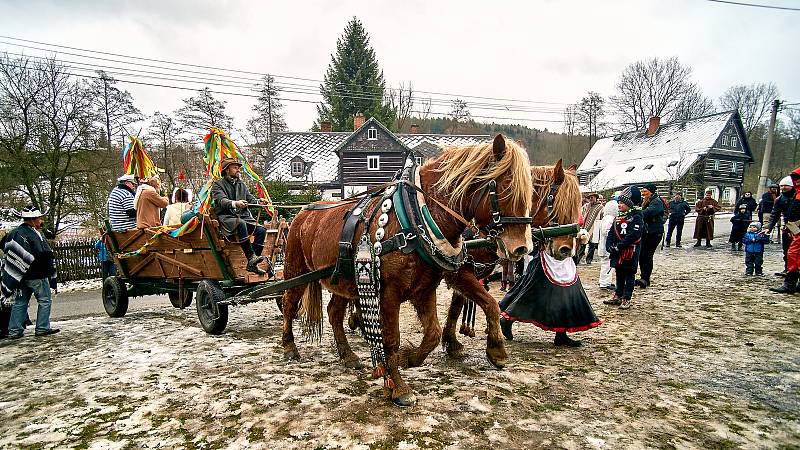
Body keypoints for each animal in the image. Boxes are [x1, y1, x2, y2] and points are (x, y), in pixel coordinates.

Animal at [282, 135, 532, 406]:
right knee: (289, 304)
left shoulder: (426, 287)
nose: (522, 248)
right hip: (296, 270)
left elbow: (436, 331)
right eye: (506, 188)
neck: (416, 219)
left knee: (334, 313)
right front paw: (399, 387)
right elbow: (391, 338)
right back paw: (289, 347)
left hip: (342, 280)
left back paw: (348, 356)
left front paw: (410, 357)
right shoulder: (388, 293)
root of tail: (304, 212)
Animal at [438, 162, 580, 362]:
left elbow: (456, 307)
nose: (566, 250)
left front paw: (452, 343)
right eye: (558, 203)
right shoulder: (459, 273)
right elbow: (488, 303)